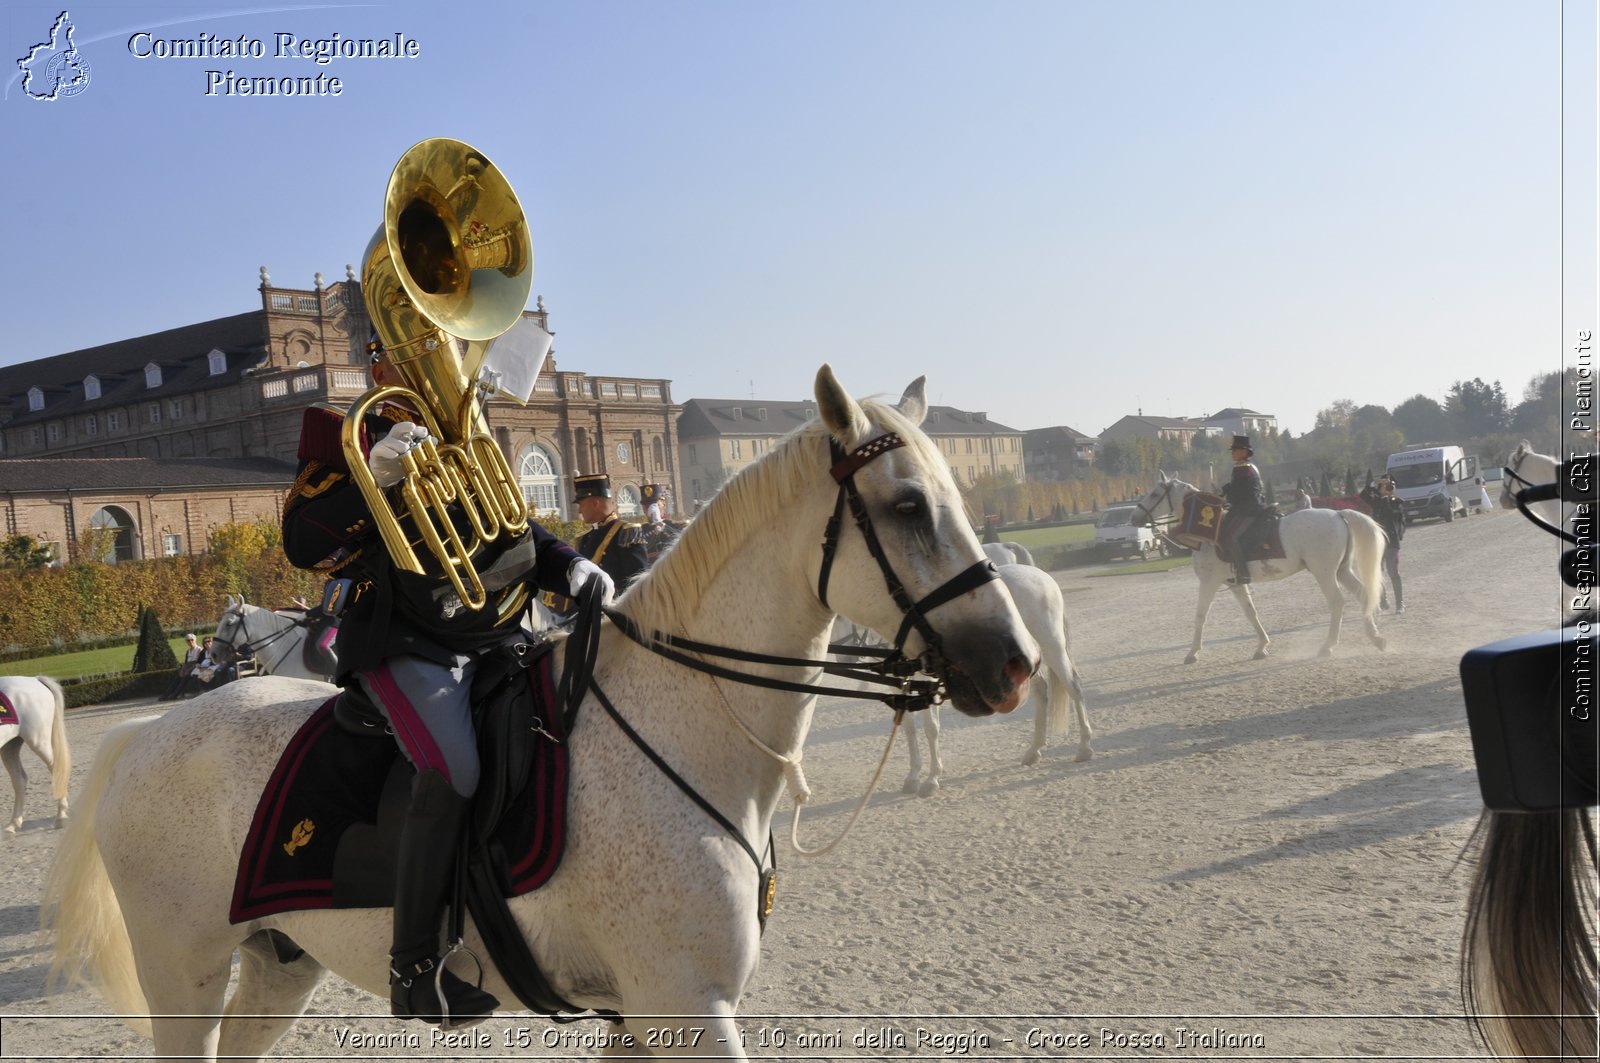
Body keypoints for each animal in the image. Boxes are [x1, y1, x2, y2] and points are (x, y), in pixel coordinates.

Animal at [0, 675, 70, 832]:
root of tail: (34, 679)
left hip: (38, 741)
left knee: (56, 769)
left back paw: (61, 816)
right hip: (8, 746)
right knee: (19, 780)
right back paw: (13, 823)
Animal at [43, 368, 1036, 1063]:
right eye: (907, 505)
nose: (1015, 662)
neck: (686, 728)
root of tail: (148, 734)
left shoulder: (644, 1012)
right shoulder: (685, 1002)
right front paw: (396, 454)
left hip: (276, 959)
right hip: (184, 968)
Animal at [902, 563, 1088, 797]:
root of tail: (1041, 575)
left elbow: (930, 727)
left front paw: (932, 778)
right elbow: (908, 726)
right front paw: (913, 777)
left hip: (1051, 645)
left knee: (1073, 686)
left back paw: (1084, 747)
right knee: (1041, 691)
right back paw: (1034, 751)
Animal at [1132, 473, 1382, 665]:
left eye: (1153, 494)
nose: (1134, 517)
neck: (1209, 532)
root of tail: (1339, 514)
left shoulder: (1209, 583)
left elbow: (1200, 616)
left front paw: (1193, 652)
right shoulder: (1235, 584)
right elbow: (1251, 612)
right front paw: (1262, 646)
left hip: (1324, 573)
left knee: (1337, 602)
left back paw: (1328, 646)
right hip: (1341, 570)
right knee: (1363, 594)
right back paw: (1376, 638)